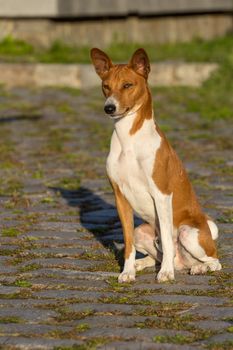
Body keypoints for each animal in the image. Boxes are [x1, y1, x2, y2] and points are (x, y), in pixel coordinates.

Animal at [90, 47, 221, 284]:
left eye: (127, 85)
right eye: (106, 86)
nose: (109, 108)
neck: (129, 140)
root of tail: (183, 263)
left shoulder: (161, 194)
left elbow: (168, 241)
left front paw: (166, 273)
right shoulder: (120, 197)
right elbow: (128, 244)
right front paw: (127, 271)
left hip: (189, 233)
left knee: (214, 260)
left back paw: (196, 268)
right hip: (143, 231)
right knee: (156, 254)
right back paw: (144, 263)